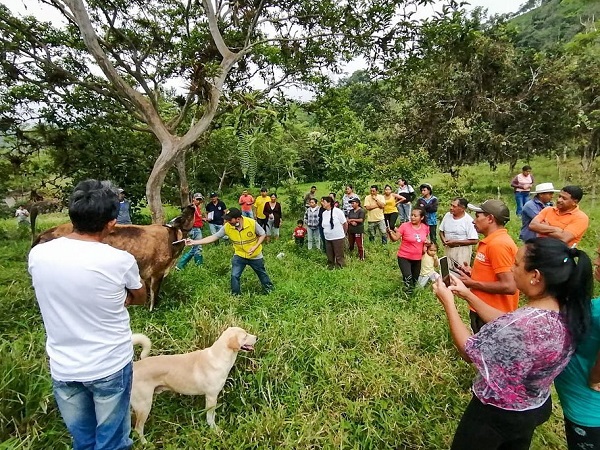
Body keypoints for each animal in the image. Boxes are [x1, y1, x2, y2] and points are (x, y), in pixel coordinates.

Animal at [31, 207, 195, 310]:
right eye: (183, 216)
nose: (191, 206)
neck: (172, 238)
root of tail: (46, 232)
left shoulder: (147, 274)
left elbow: (149, 293)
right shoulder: (158, 272)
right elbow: (155, 294)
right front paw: (152, 310)